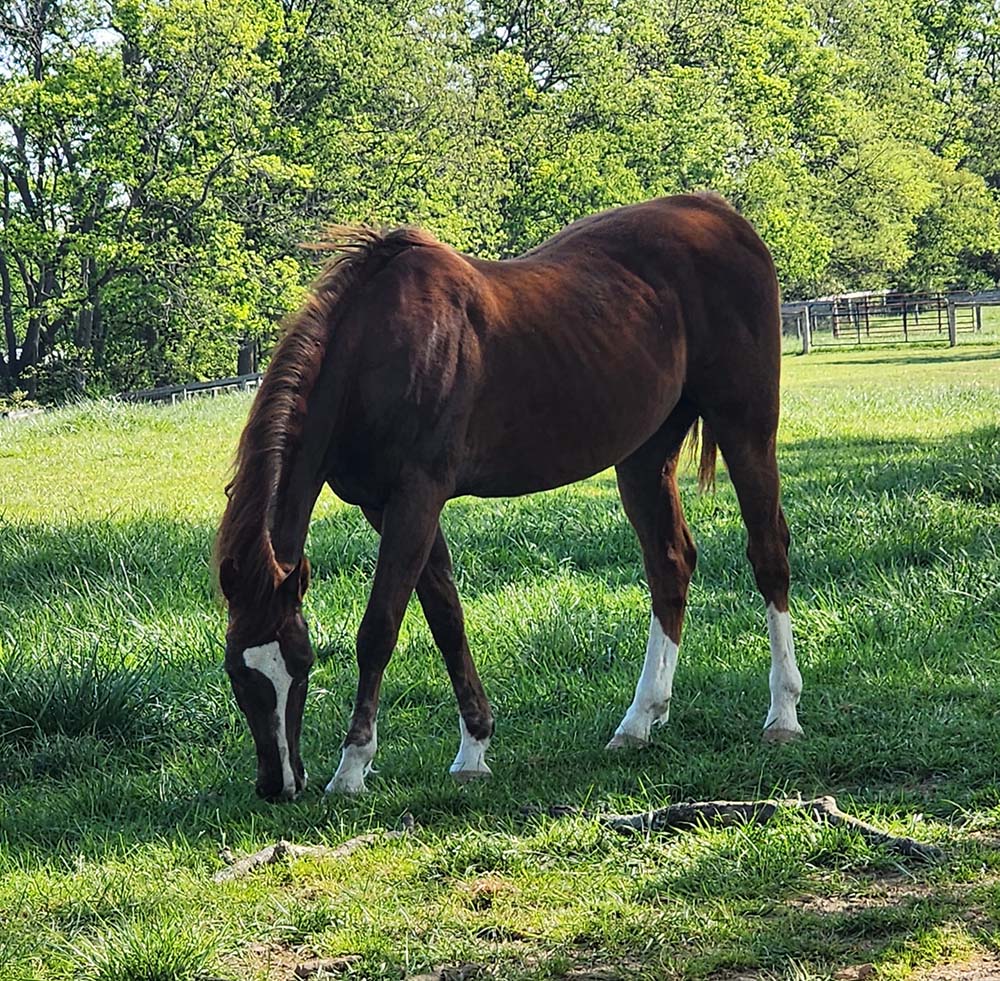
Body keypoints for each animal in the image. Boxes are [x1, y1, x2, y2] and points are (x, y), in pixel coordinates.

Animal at [214, 192, 803, 801]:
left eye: (300, 664)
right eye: (238, 671)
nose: (278, 783)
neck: (376, 351)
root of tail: (719, 212)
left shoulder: (417, 495)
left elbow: (379, 627)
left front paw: (353, 765)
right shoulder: (386, 506)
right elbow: (445, 618)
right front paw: (474, 747)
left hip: (745, 427)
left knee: (768, 554)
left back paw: (782, 715)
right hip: (644, 455)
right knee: (670, 565)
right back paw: (640, 720)